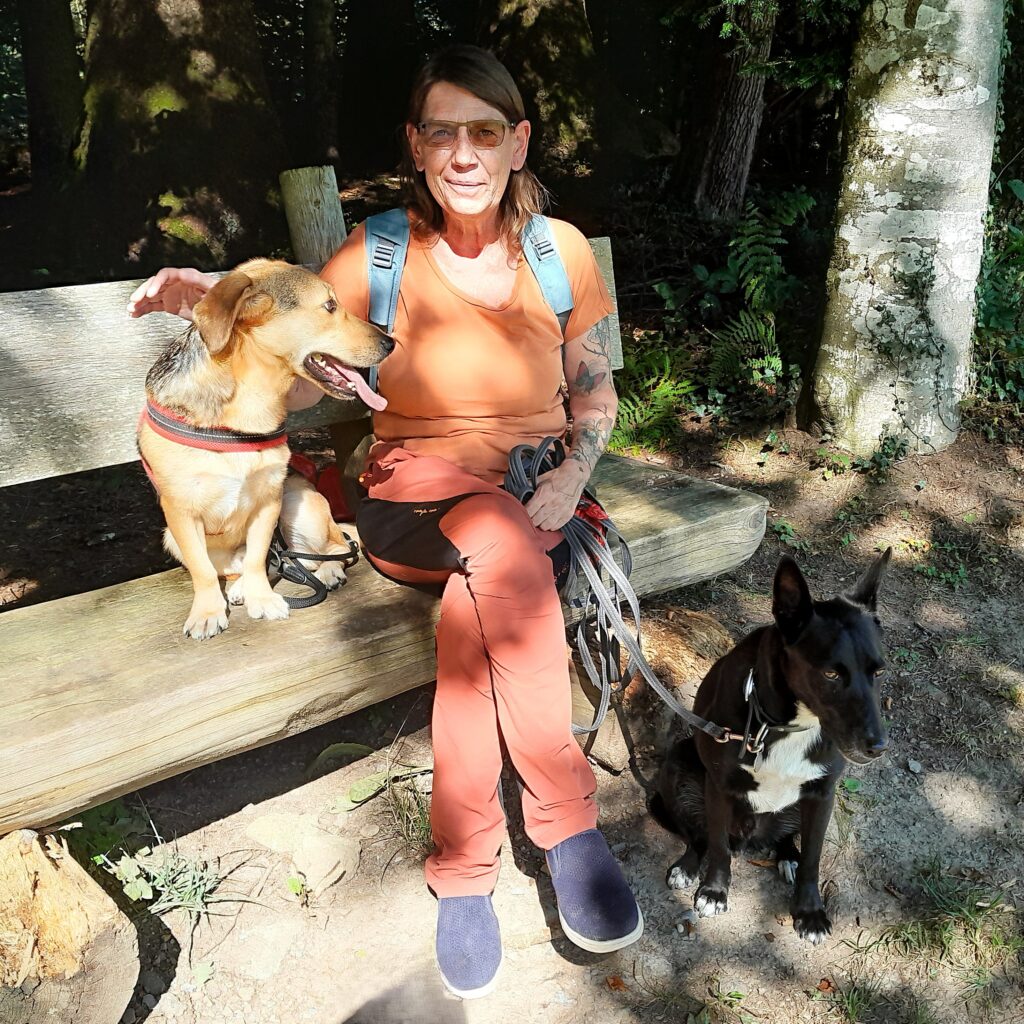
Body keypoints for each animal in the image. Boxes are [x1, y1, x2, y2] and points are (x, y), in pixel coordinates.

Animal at [138, 258, 393, 640]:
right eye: (330, 306)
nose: (392, 342)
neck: (247, 403)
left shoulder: (269, 498)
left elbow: (259, 557)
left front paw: (262, 598)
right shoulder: (180, 511)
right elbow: (203, 570)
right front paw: (208, 611)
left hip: (300, 501)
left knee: (330, 547)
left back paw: (326, 571)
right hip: (171, 537)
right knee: (251, 565)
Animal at [650, 550, 892, 944]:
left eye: (879, 672)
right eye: (830, 674)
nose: (878, 746)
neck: (786, 723)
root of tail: (751, 837)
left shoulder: (822, 793)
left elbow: (813, 857)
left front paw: (810, 912)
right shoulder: (719, 786)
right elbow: (717, 845)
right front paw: (714, 891)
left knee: (788, 840)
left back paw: (787, 855)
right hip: (678, 765)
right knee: (699, 835)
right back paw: (688, 866)